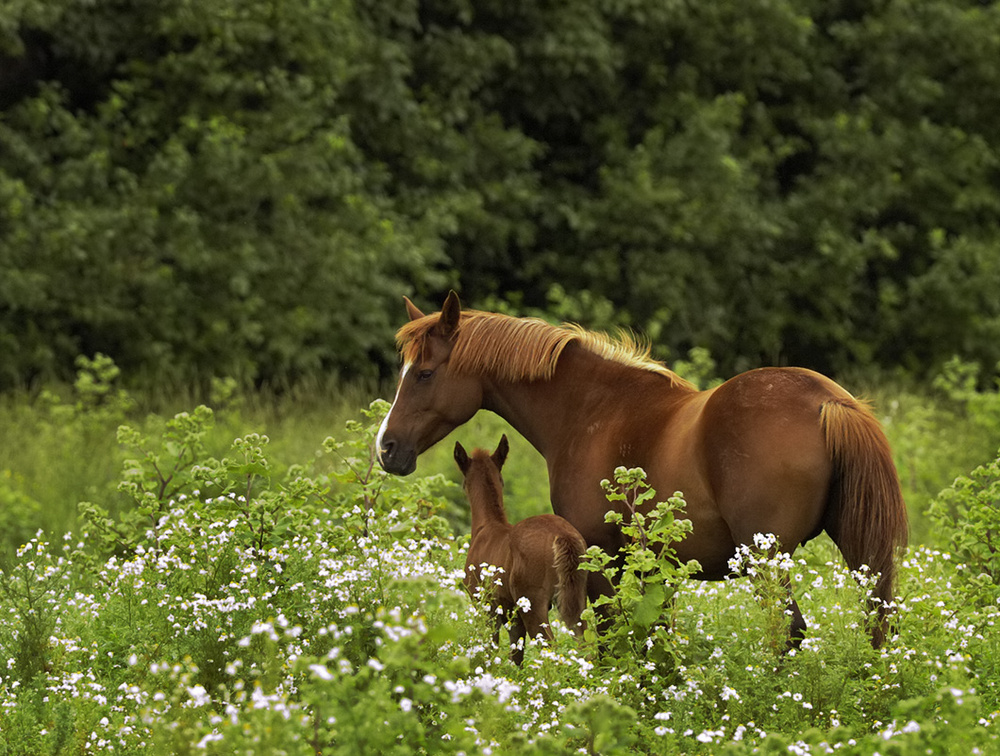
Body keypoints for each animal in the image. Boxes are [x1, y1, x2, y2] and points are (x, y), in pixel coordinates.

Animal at [376, 292, 908, 648]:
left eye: (424, 374)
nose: (386, 448)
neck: (593, 408)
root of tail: (829, 402)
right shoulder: (655, 571)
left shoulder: (600, 560)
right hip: (860, 554)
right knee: (876, 623)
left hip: (767, 559)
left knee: (789, 630)